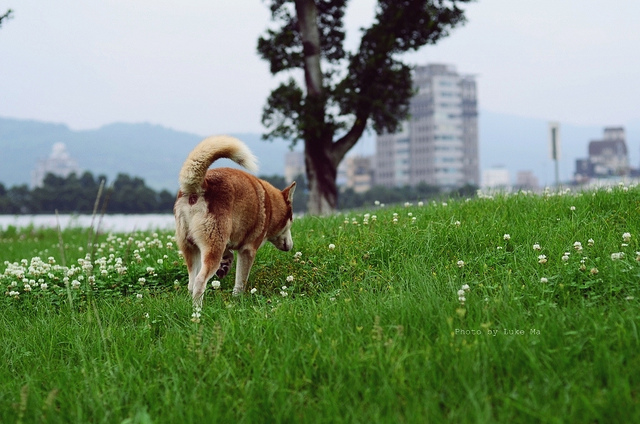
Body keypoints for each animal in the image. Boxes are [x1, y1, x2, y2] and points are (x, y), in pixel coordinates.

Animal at [174, 135, 296, 307]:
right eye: (291, 221)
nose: (291, 246)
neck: (270, 205)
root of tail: (202, 185)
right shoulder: (248, 249)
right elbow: (241, 281)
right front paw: (238, 299)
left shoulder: (225, 239)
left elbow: (229, 253)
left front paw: (225, 265)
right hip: (212, 247)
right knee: (199, 281)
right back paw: (197, 310)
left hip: (191, 247)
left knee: (191, 283)